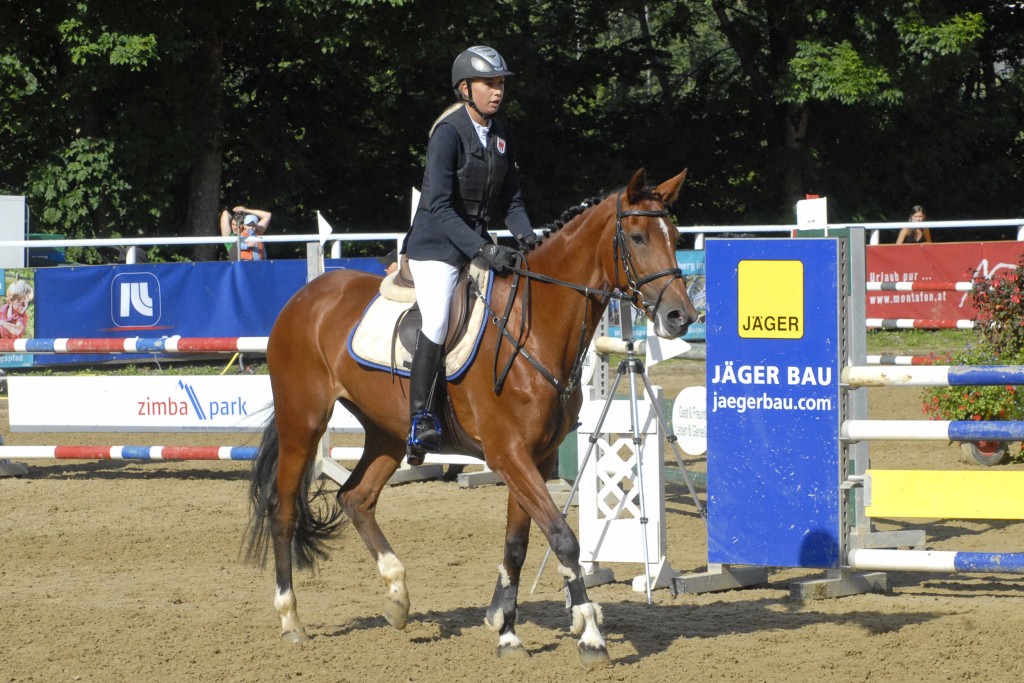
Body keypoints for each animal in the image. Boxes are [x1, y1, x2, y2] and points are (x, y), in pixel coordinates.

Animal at [244, 168, 697, 668]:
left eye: (676, 237)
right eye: (636, 237)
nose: (681, 316)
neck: (532, 329)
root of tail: (305, 297)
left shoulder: (535, 458)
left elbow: (518, 543)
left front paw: (507, 631)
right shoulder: (508, 454)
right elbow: (563, 537)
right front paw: (591, 635)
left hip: (386, 432)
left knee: (356, 498)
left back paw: (397, 596)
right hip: (302, 423)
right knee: (284, 509)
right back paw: (291, 619)